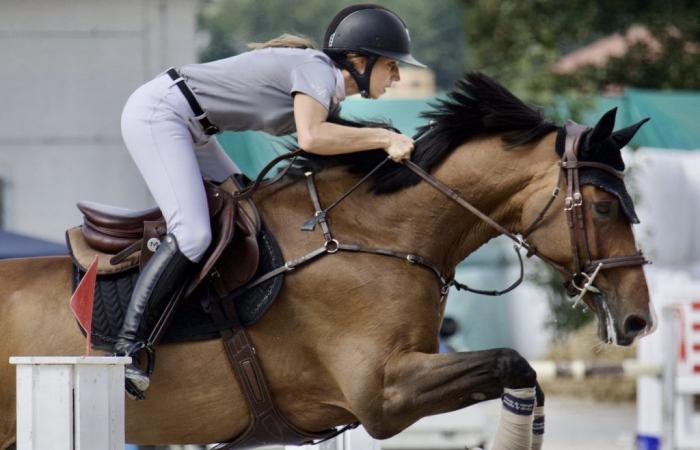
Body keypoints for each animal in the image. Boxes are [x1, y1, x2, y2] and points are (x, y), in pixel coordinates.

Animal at [1, 72, 656, 448]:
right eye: (604, 206)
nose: (639, 320)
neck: (378, 234)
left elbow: (522, 376)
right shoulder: (383, 393)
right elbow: (511, 363)